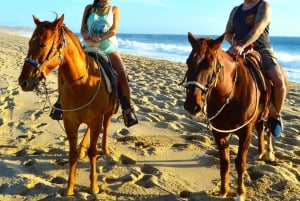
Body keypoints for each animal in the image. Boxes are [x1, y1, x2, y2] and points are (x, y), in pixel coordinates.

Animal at [17, 14, 116, 196]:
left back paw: (105, 149)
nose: (24, 81)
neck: (82, 84)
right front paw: (69, 188)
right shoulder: (70, 122)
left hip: (107, 113)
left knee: (106, 125)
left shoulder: (96, 120)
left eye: (42, 44)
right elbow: (72, 153)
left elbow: (93, 152)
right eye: (29, 44)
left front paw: (93, 186)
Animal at [182, 32, 284, 200]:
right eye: (188, 62)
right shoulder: (220, 132)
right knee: (260, 129)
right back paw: (260, 152)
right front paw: (223, 190)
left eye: (209, 64)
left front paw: (240, 193)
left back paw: (269, 153)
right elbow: (225, 161)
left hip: (270, 110)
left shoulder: (245, 132)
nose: (192, 105)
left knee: (269, 128)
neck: (230, 93)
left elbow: (240, 162)